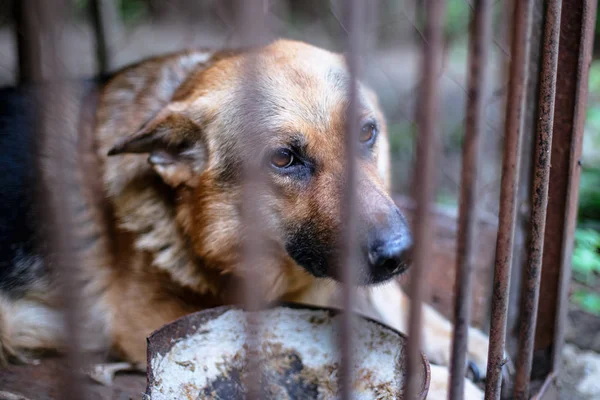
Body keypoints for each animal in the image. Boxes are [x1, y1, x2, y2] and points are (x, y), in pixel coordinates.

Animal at [0, 39, 492, 396]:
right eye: (283, 159)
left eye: (366, 133)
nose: (399, 255)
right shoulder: (152, 318)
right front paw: (451, 382)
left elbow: (400, 301)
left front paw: (466, 344)